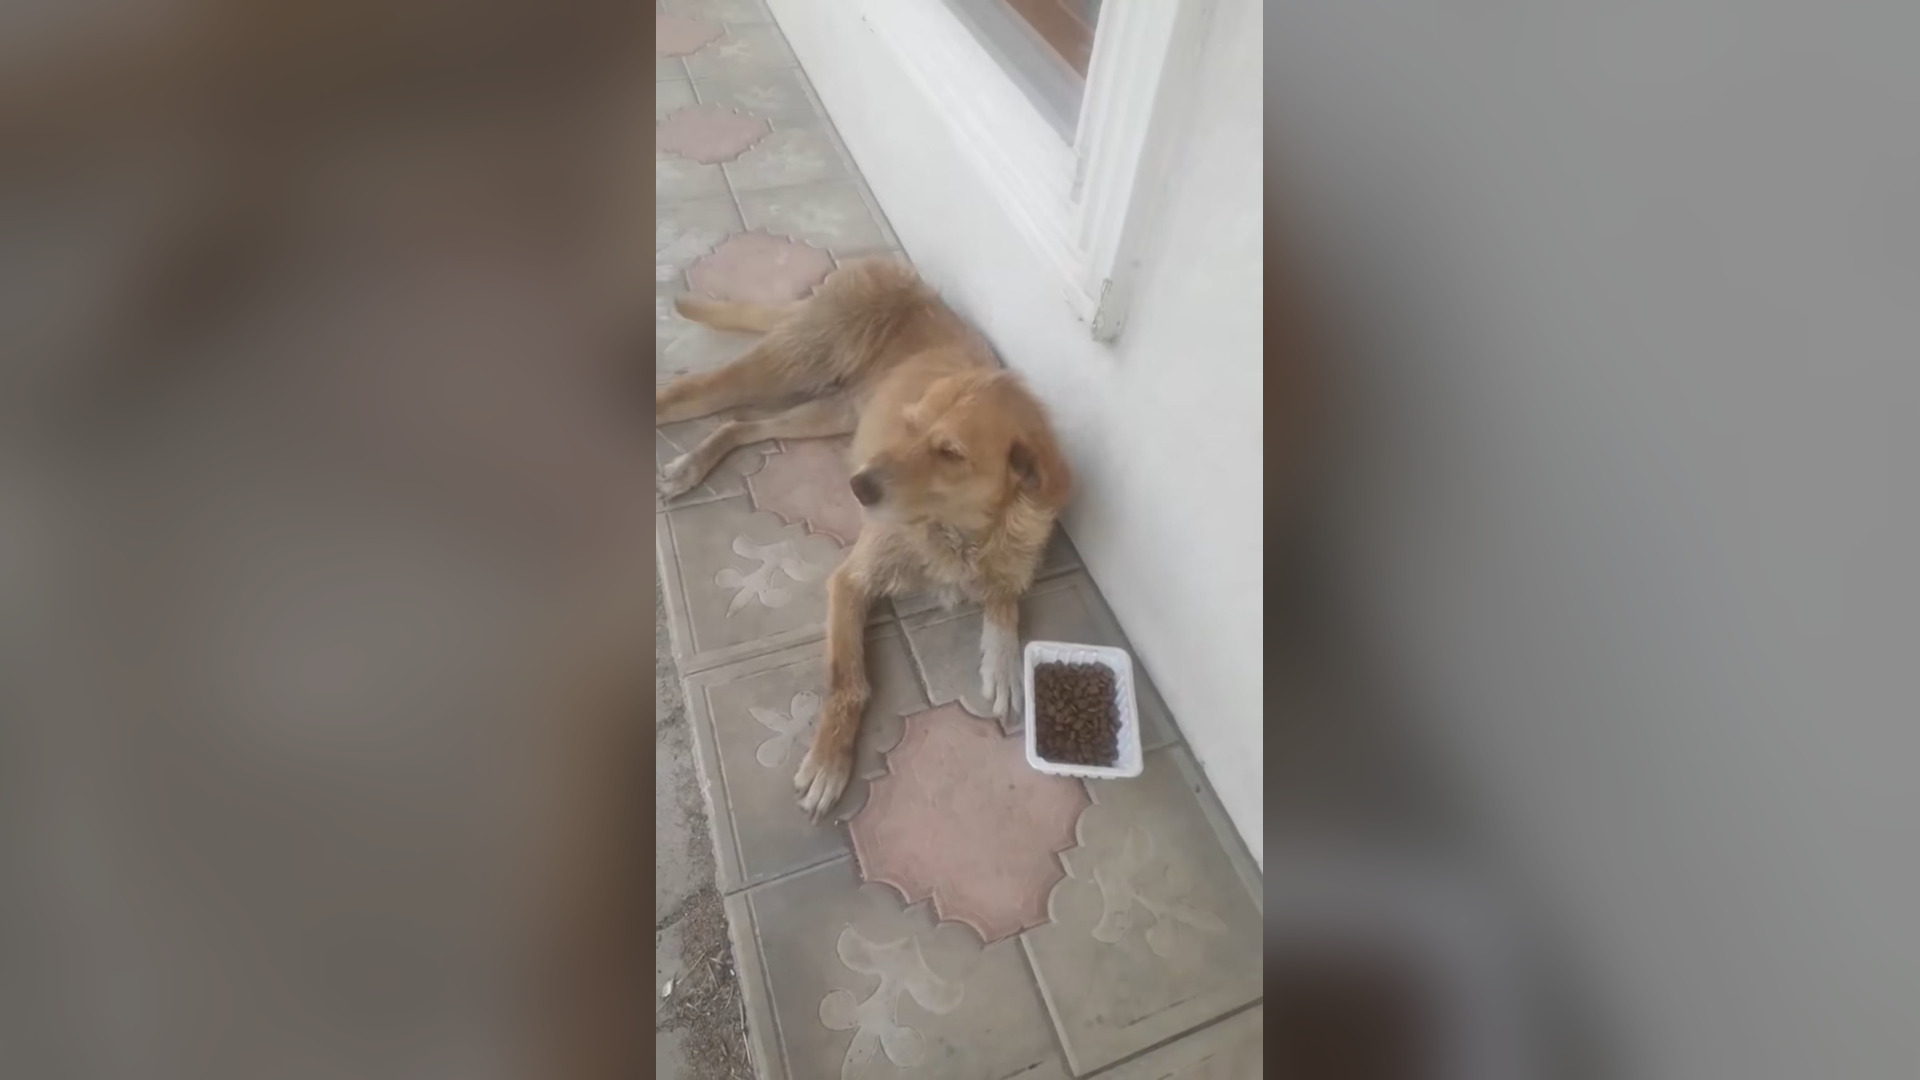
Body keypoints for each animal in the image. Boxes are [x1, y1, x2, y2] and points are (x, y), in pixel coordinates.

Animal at [658, 259, 1072, 821]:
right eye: (910, 424)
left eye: (950, 452)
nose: (858, 486)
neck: (959, 532)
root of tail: (886, 271)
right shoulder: (850, 581)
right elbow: (849, 681)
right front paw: (830, 759)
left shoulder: (1012, 557)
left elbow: (1005, 598)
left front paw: (1004, 659)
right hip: (790, 365)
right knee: (691, 393)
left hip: (831, 414)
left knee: (744, 425)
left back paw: (695, 462)